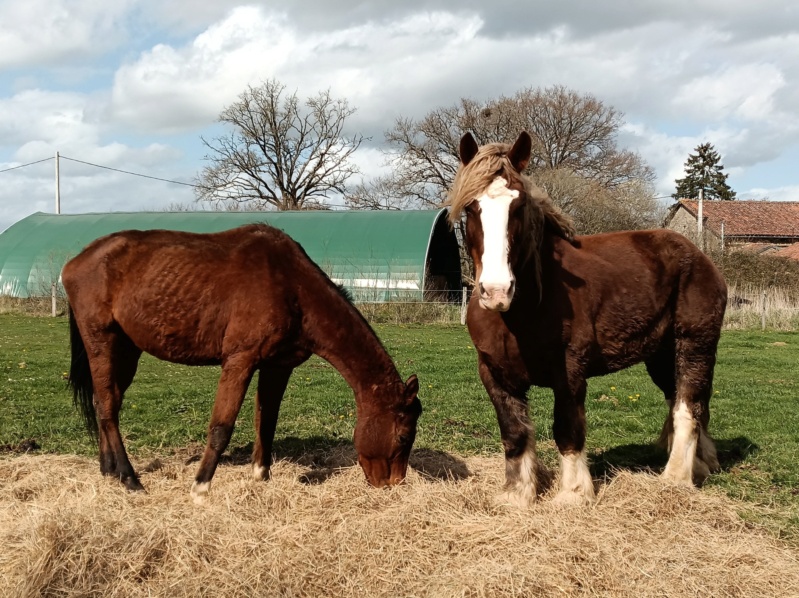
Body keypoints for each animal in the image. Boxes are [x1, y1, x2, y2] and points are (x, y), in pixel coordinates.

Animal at [61, 223, 422, 504]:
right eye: (404, 436)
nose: (392, 485)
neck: (293, 287)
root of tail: (77, 261)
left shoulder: (278, 366)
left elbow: (267, 421)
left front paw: (261, 477)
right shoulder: (240, 361)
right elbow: (222, 427)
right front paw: (200, 488)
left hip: (126, 349)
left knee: (105, 403)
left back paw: (108, 472)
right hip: (102, 341)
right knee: (108, 406)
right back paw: (129, 479)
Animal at [454, 131, 728, 506]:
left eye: (518, 206)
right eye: (471, 208)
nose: (496, 291)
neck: (523, 310)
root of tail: (700, 256)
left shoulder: (569, 370)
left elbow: (567, 428)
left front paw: (572, 494)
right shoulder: (494, 372)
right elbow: (514, 431)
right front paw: (517, 495)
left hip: (694, 345)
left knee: (689, 405)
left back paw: (674, 480)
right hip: (661, 355)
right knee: (679, 400)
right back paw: (701, 464)